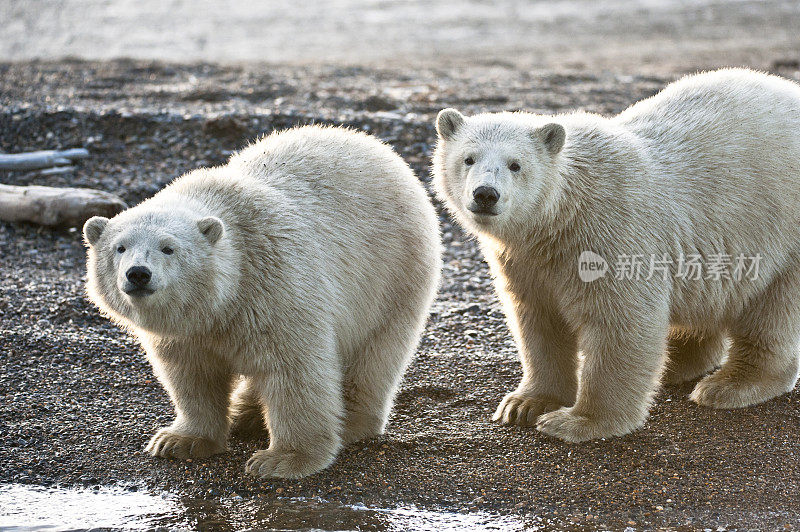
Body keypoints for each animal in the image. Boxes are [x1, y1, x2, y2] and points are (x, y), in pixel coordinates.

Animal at [83, 125, 444, 478]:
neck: (223, 300)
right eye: (120, 247)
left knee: (375, 355)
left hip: (393, 275)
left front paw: (282, 459)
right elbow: (192, 376)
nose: (138, 274)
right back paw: (246, 414)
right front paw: (177, 441)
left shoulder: (276, 285)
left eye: (168, 248)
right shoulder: (187, 332)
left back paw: (350, 421)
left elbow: (294, 369)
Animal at [434, 68, 800, 442]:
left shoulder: (610, 232)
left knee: (773, 311)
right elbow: (538, 319)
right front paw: (524, 404)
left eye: (515, 165)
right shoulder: (526, 259)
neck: (561, 215)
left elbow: (620, 322)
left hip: (781, 230)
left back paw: (730, 385)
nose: (485, 194)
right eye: (468, 158)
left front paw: (578, 421)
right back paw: (677, 364)